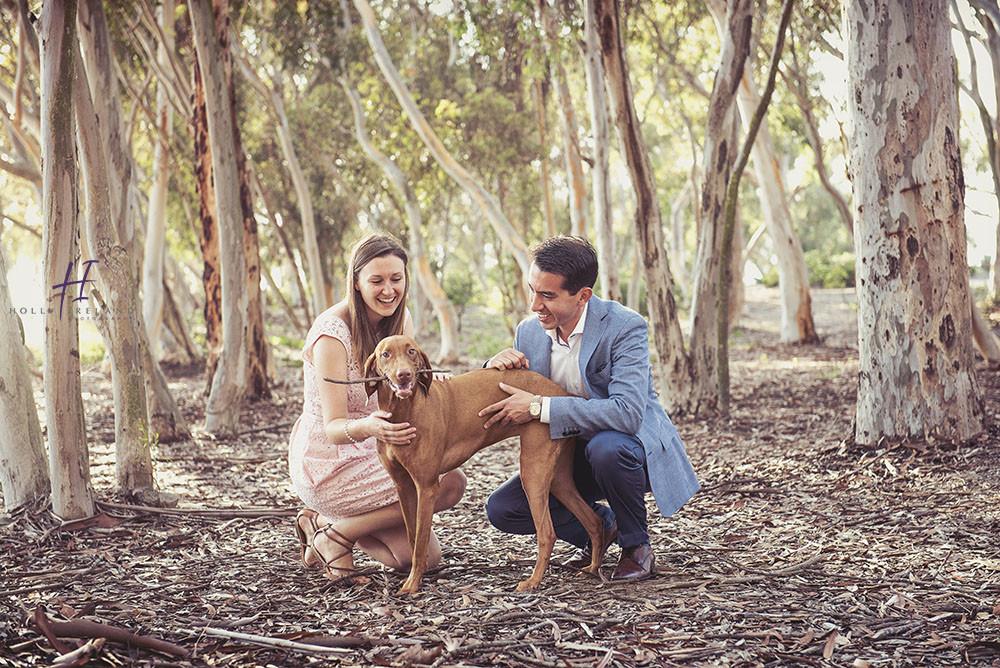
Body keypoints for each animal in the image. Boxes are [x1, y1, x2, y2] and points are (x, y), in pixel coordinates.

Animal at [364, 334, 604, 596]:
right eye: (385, 354)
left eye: (412, 352)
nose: (404, 375)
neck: (403, 411)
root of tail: (562, 394)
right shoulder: (404, 487)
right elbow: (413, 538)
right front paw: (417, 576)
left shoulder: (427, 487)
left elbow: (420, 543)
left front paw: (413, 584)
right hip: (559, 479)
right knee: (594, 521)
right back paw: (593, 568)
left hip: (533, 473)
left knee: (548, 533)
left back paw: (533, 581)